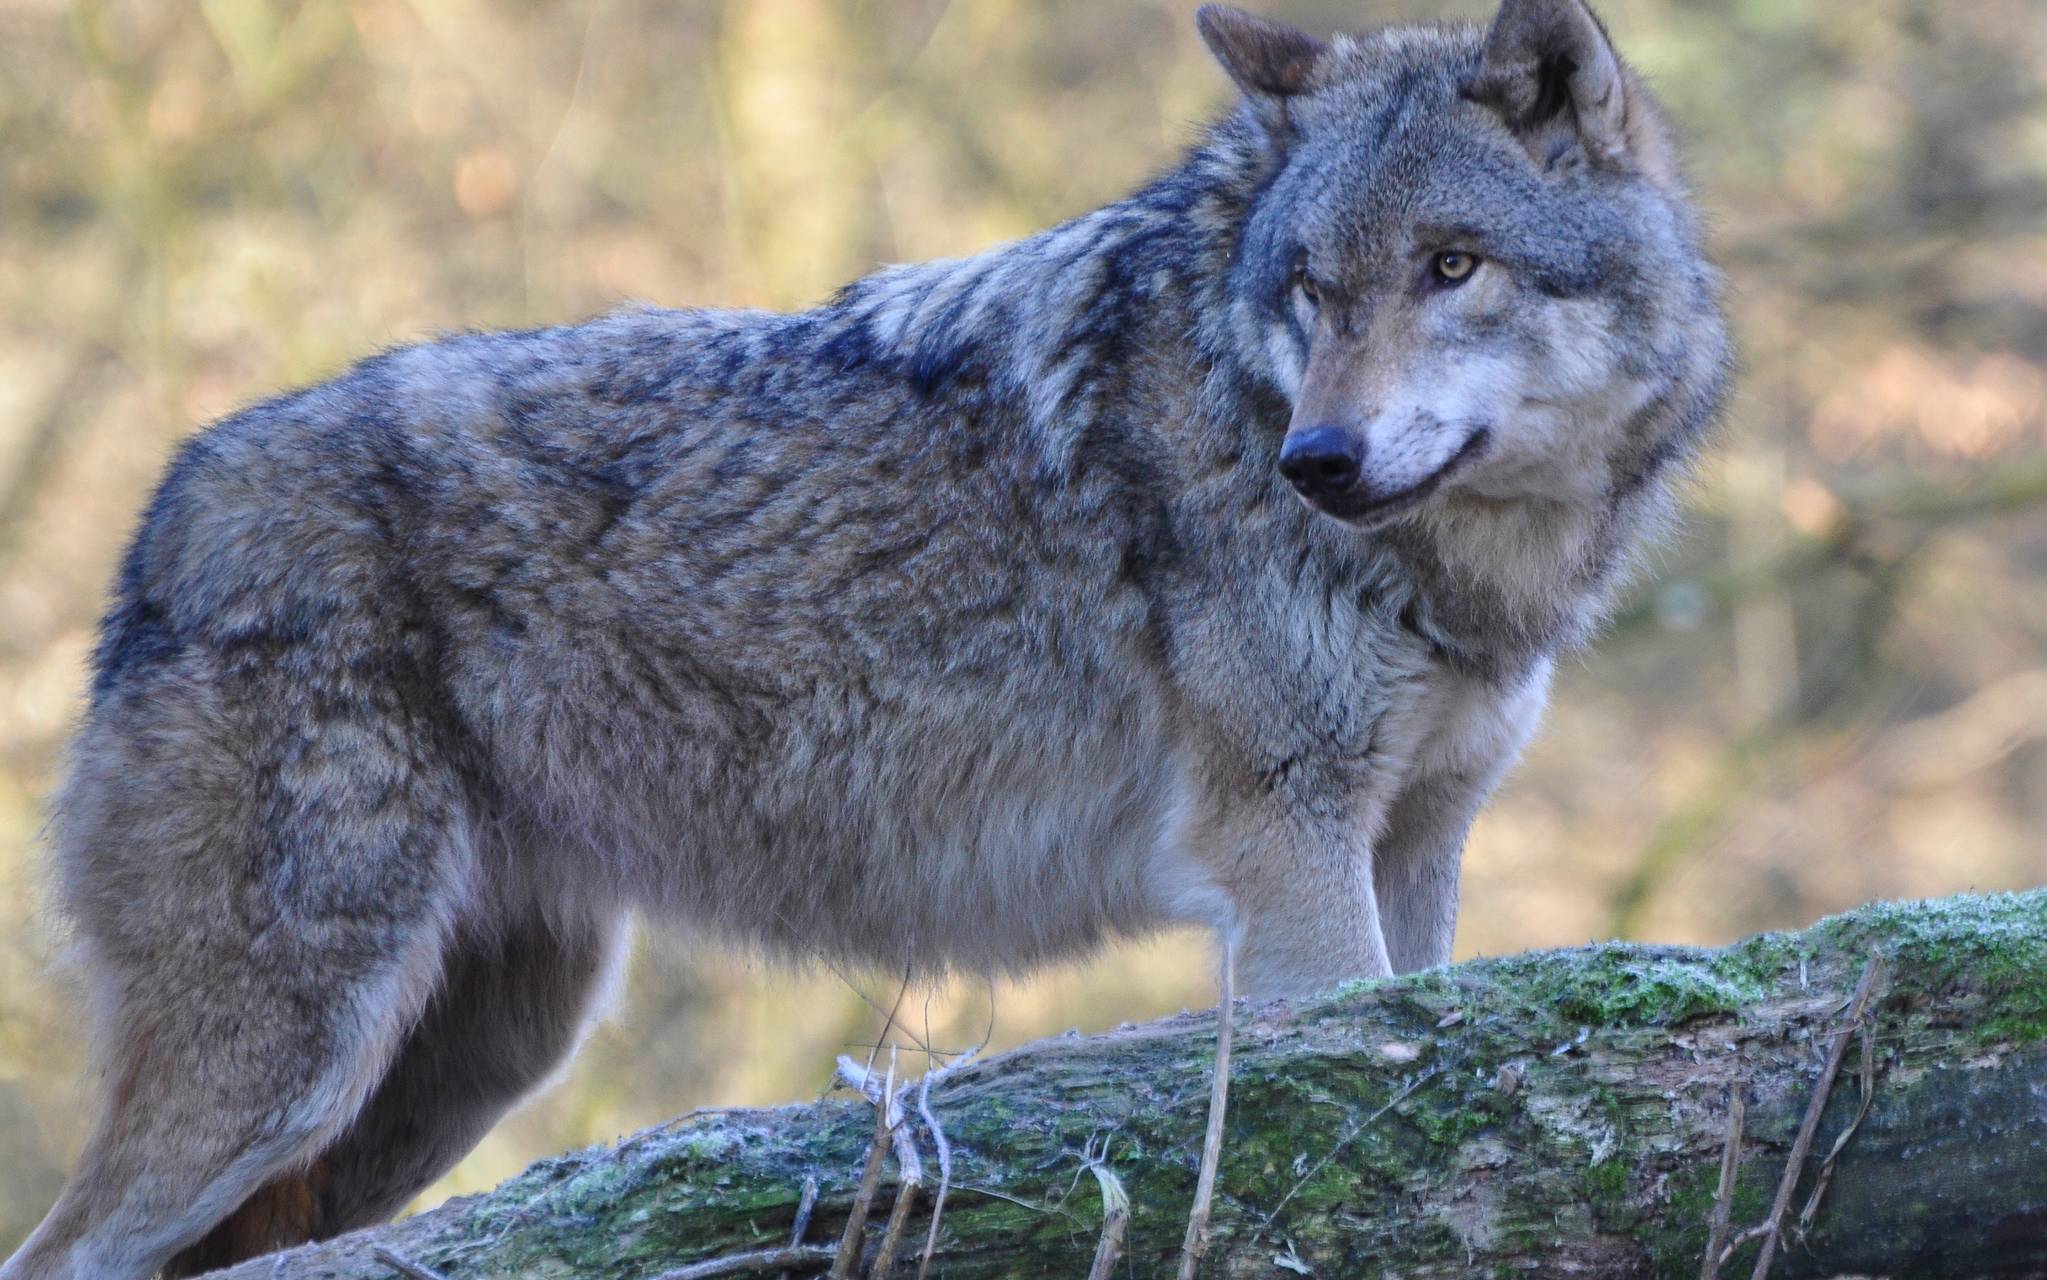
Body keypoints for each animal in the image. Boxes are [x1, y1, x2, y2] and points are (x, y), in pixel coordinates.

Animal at [3, 0, 1727, 1274]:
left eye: (1451, 265)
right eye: (1307, 288)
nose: (1316, 458)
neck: (1474, 571)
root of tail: (167, 512)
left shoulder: (1416, 848)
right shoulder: (1286, 851)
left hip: (459, 1069)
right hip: (292, 1062)